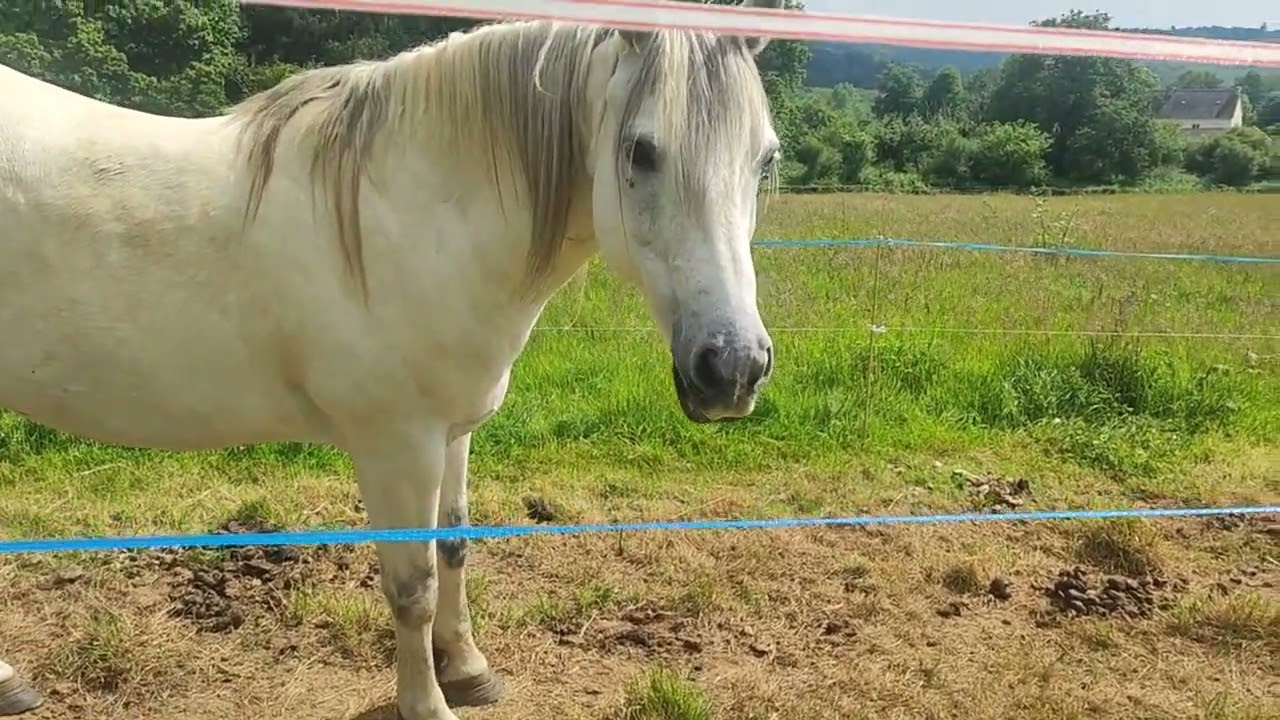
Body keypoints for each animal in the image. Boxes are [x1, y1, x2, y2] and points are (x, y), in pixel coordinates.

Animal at [0, 1, 787, 717]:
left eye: (765, 158)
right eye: (640, 152)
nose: (732, 368)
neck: (414, 216)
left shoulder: (453, 433)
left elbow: (456, 545)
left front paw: (468, 669)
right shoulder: (395, 446)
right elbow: (412, 587)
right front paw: (427, 703)